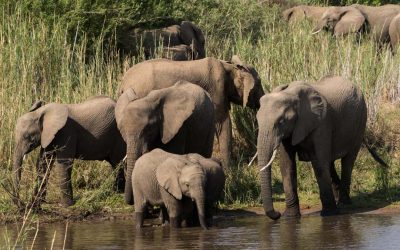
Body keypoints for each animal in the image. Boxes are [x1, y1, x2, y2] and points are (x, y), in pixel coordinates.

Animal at [117, 55, 264, 171]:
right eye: (259, 84)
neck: (230, 66)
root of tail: (123, 82)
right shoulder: (217, 88)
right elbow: (223, 124)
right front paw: (231, 172)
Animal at [256, 75, 388, 220]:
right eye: (257, 120)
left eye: (281, 121)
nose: (277, 214)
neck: (290, 93)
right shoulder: (291, 131)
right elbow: (287, 165)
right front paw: (290, 217)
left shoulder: (321, 122)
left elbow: (318, 163)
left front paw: (328, 214)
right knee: (330, 163)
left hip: (360, 122)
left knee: (347, 161)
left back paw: (343, 204)